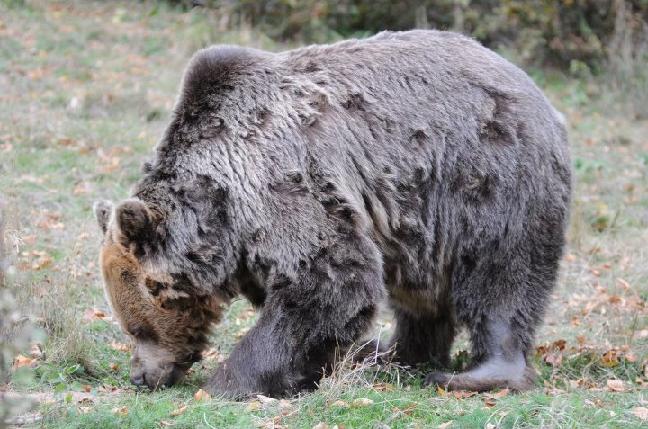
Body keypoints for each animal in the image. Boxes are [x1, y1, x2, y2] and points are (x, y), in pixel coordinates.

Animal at [93, 30, 568, 398]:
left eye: (137, 328)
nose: (140, 376)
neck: (220, 210)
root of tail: (537, 92)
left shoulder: (285, 183)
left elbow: (331, 279)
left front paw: (228, 382)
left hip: (489, 179)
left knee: (501, 275)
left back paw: (478, 372)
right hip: (419, 223)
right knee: (419, 295)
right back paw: (391, 356)